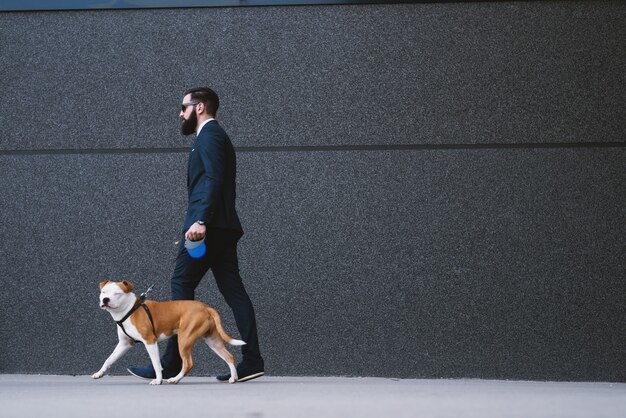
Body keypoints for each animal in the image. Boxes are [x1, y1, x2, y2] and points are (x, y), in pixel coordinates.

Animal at [92, 280, 244, 386]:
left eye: (117, 293)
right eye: (104, 292)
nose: (105, 300)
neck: (129, 309)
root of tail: (205, 307)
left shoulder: (150, 341)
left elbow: (156, 363)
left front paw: (158, 380)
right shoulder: (124, 344)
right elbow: (109, 359)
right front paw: (99, 373)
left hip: (184, 339)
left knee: (188, 363)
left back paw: (175, 379)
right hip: (213, 341)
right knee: (229, 357)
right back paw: (233, 378)